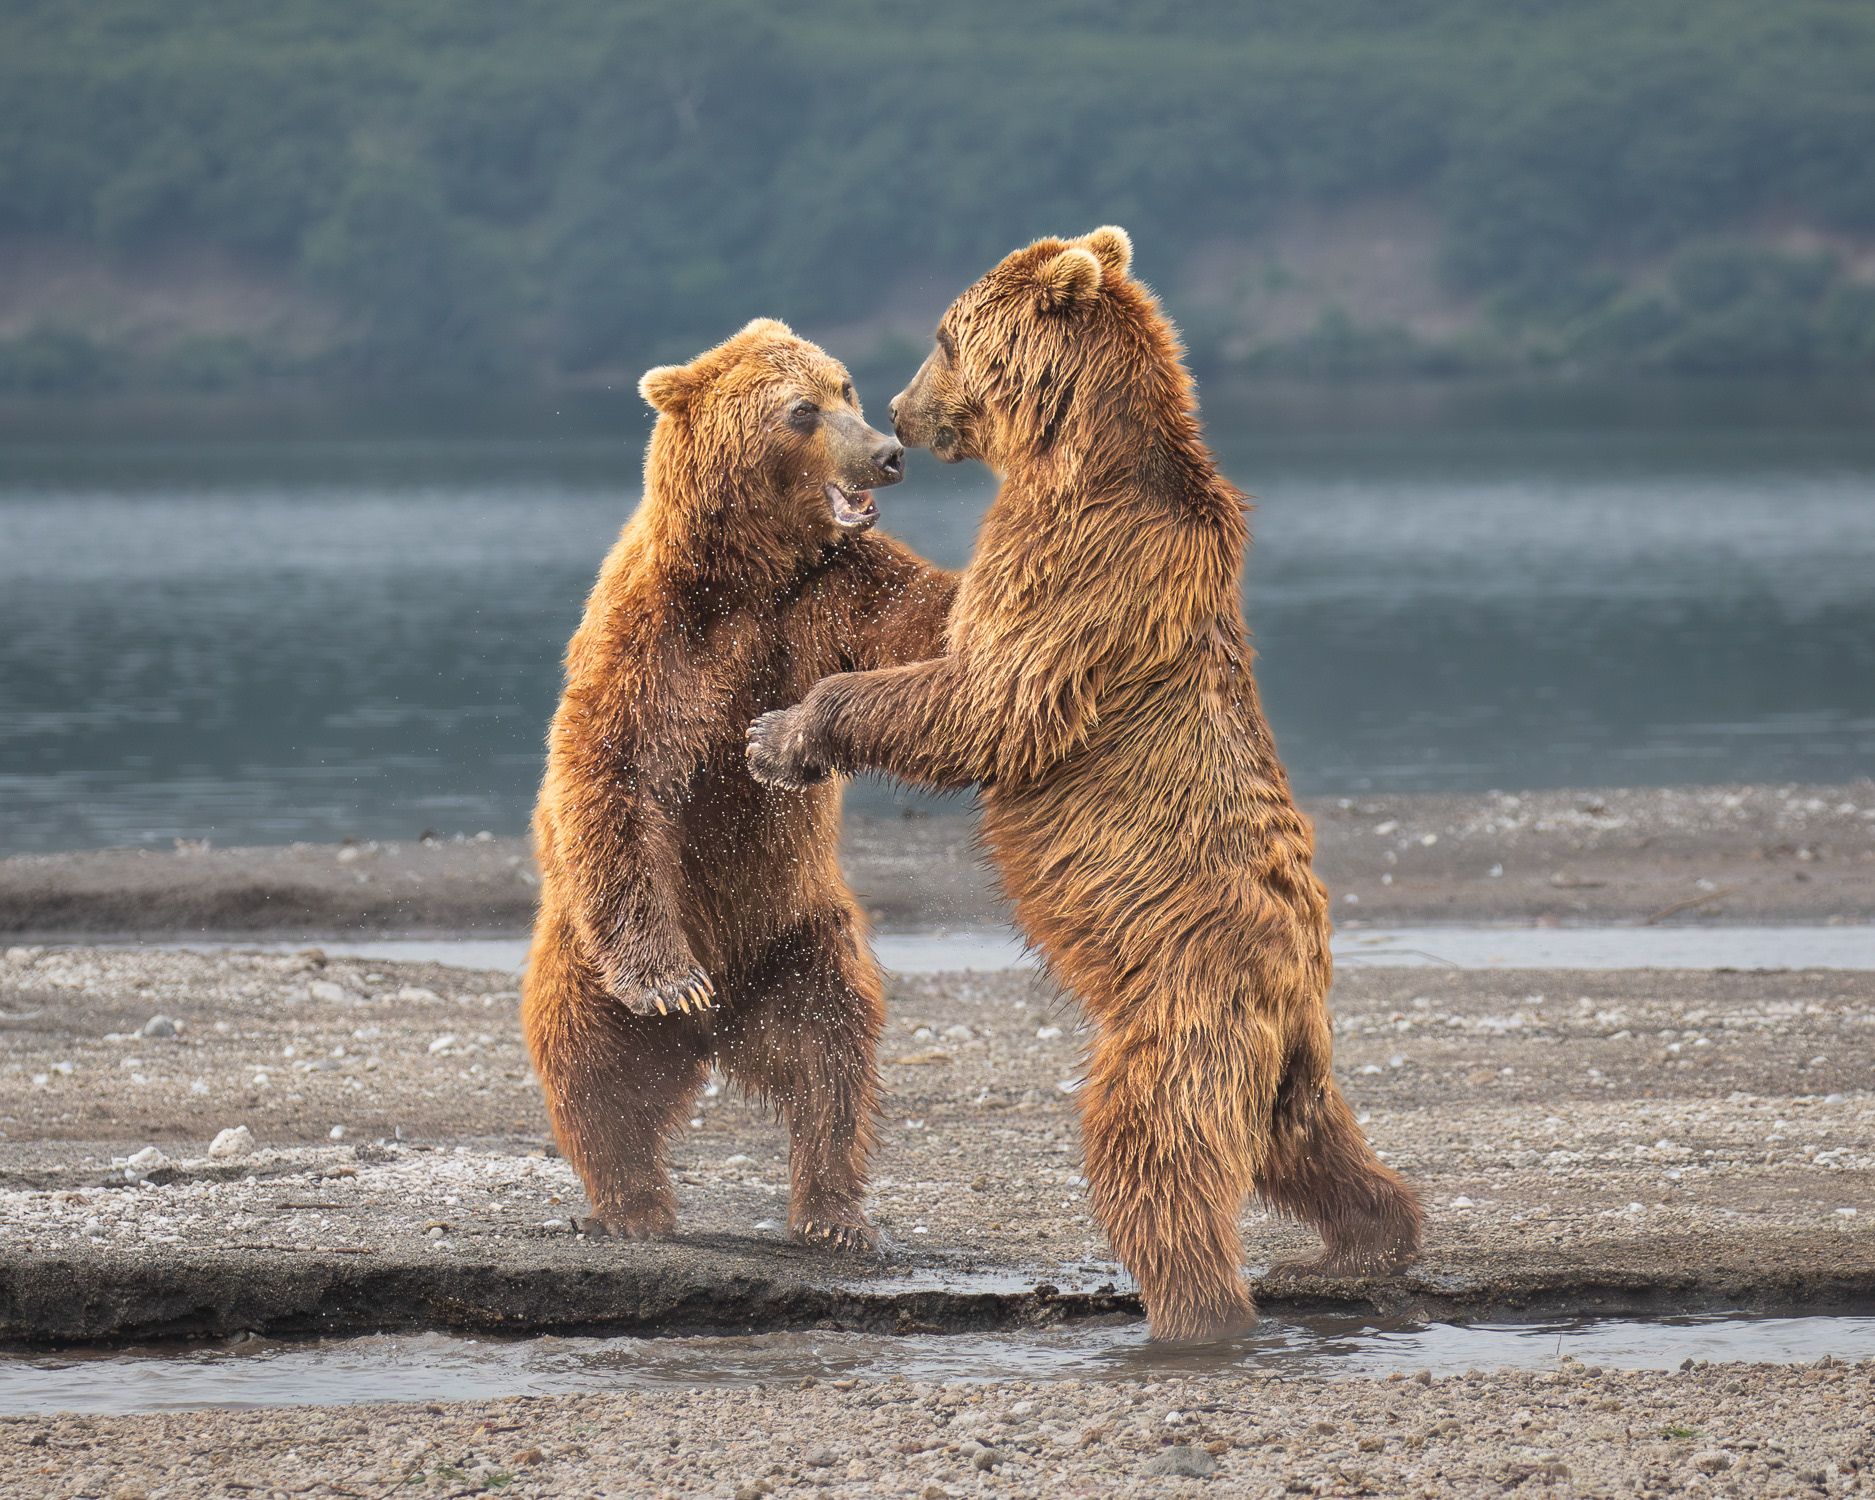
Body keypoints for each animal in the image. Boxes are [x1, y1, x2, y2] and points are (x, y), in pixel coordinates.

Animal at [523, 318, 956, 1253]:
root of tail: (716, 1036)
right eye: (800, 410)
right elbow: (613, 769)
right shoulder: (656, 638)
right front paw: (666, 980)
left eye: (845, 387)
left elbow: (930, 626)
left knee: (834, 1054)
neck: (747, 574)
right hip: (583, 957)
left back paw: (832, 1212)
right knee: (588, 1066)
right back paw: (633, 1201)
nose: (887, 454)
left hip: (800, 938)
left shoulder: (832, 597)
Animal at [747, 229, 1422, 1339]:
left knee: (1155, 1153)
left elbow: (983, 696)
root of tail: (1295, 988)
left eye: (943, 335)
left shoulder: (1074, 575)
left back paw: (1198, 1308)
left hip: (1178, 1016)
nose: (897, 413)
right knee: (1316, 1151)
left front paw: (783, 732)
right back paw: (1368, 1243)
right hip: (1288, 1075)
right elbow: (944, 648)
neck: (1072, 456)